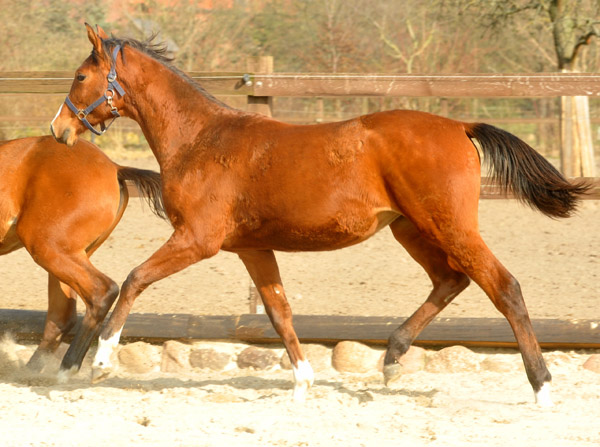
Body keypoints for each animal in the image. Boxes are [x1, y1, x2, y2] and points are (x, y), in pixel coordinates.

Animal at [0, 136, 164, 374]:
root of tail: (113, 167)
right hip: (68, 254)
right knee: (62, 317)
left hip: (48, 247)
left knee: (101, 292)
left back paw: (67, 369)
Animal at [49, 24, 588, 406]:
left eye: (80, 76)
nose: (58, 130)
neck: (201, 139)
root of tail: (458, 125)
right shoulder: (252, 248)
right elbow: (279, 311)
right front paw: (304, 381)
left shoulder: (198, 239)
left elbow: (135, 278)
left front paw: (100, 359)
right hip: (412, 230)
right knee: (450, 280)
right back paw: (392, 358)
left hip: (449, 226)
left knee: (503, 286)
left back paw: (542, 386)